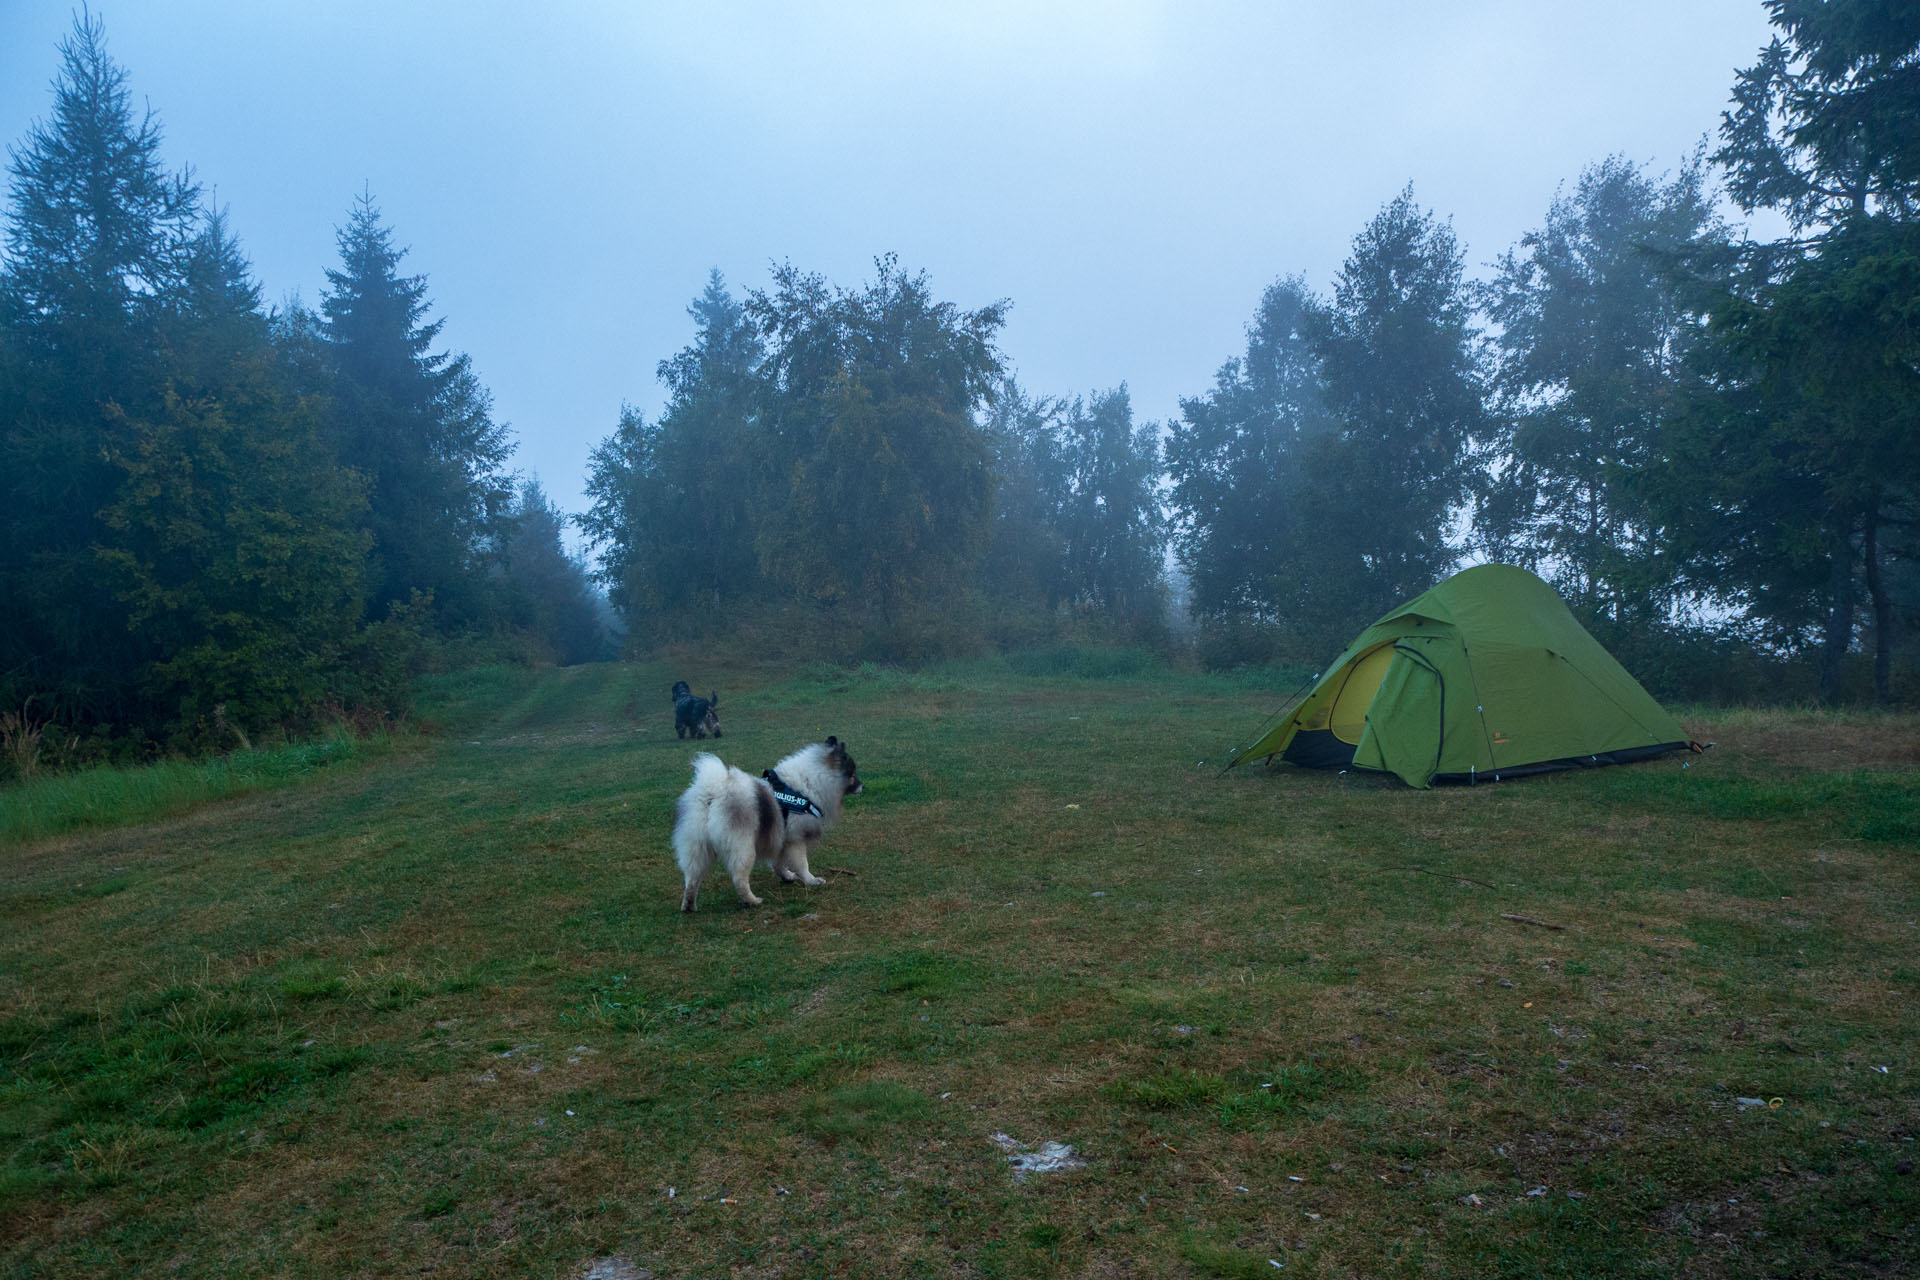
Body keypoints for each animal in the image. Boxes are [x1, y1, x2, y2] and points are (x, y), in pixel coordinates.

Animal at [672, 736, 860, 917]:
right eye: (852, 774)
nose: (862, 785)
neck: (810, 783)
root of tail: (713, 792)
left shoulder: (782, 838)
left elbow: (779, 863)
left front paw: (787, 877)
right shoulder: (796, 839)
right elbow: (801, 864)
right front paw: (811, 880)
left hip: (696, 847)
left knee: (692, 879)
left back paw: (689, 905)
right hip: (743, 847)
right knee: (739, 879)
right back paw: (752, 901)